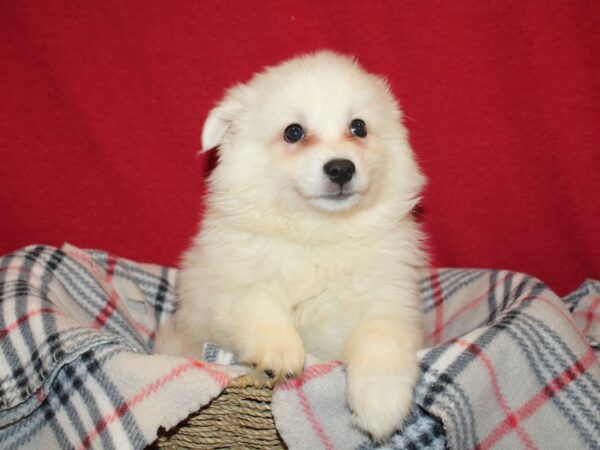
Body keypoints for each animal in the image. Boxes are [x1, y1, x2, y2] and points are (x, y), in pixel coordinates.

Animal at [155, 51, 426, 442]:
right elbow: (254, 299)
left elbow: (381, 337)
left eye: (358, 127)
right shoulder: (215, 294)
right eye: (293, 132)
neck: (318, 233)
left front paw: (380, 406)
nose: (341, 168)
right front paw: (280, 352)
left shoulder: (394, 300)